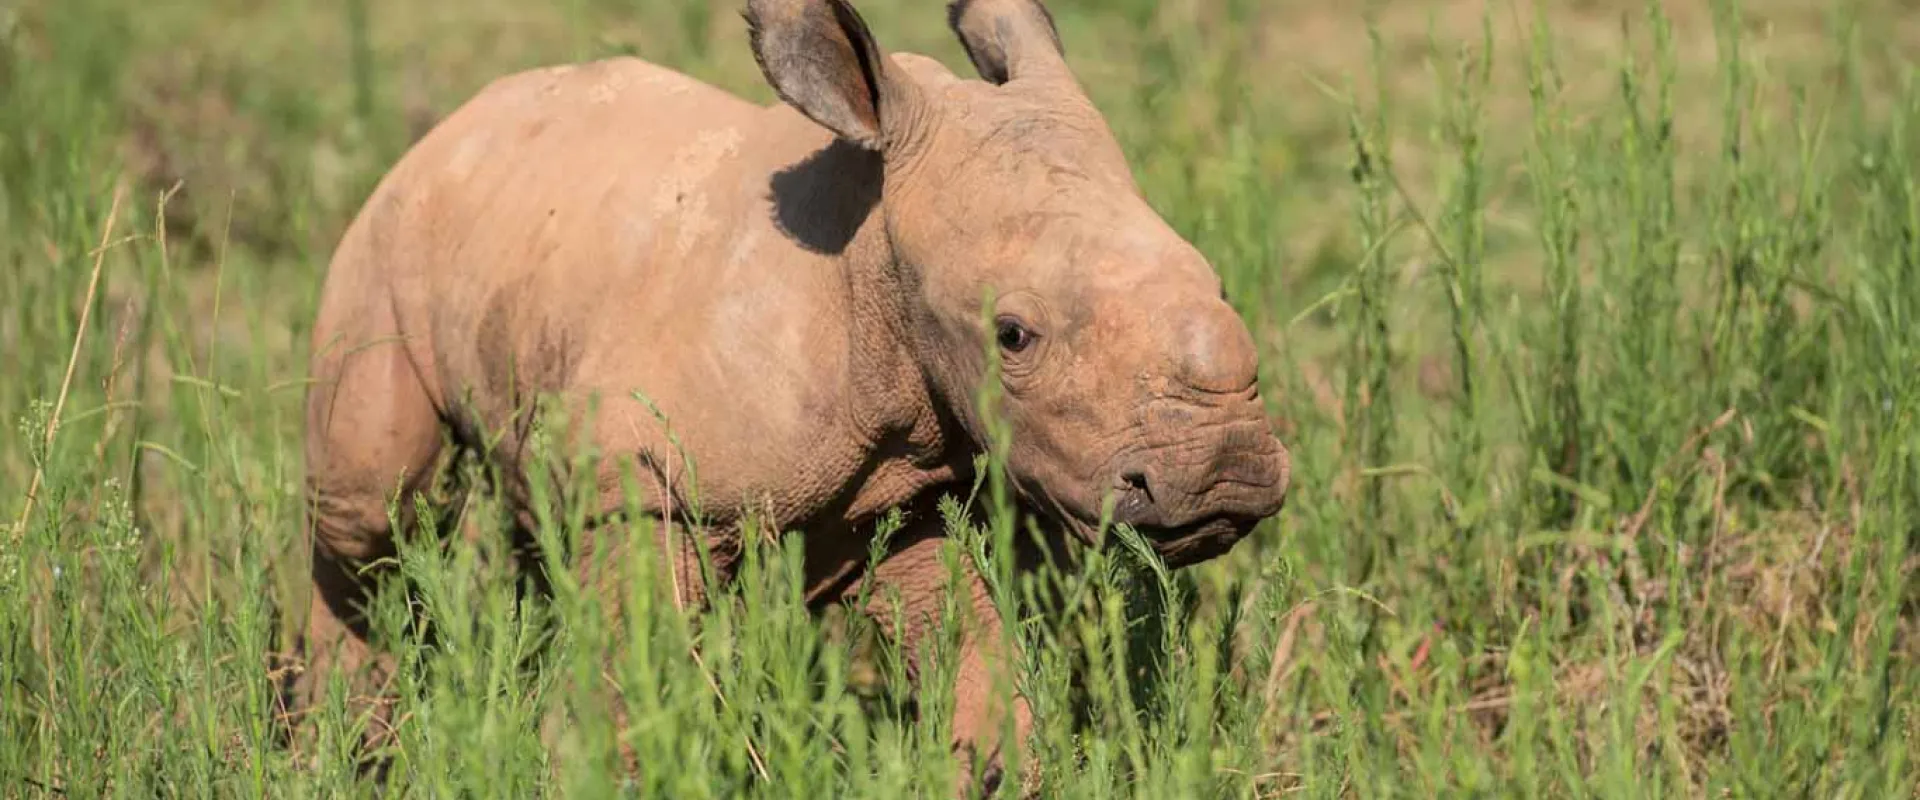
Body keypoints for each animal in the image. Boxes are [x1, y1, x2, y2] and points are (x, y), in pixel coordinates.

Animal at [291, 0, 1292, 785]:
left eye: (1221, 283)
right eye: (1013, 336)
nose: (1225, 474)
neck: (871, 258)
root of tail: (462, 119)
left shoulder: (903, 489)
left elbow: (972, 649)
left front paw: (996, 770)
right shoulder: (650, 490)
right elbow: (626, 682)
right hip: (387, 235)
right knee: (371, 511)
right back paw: (338, 743)